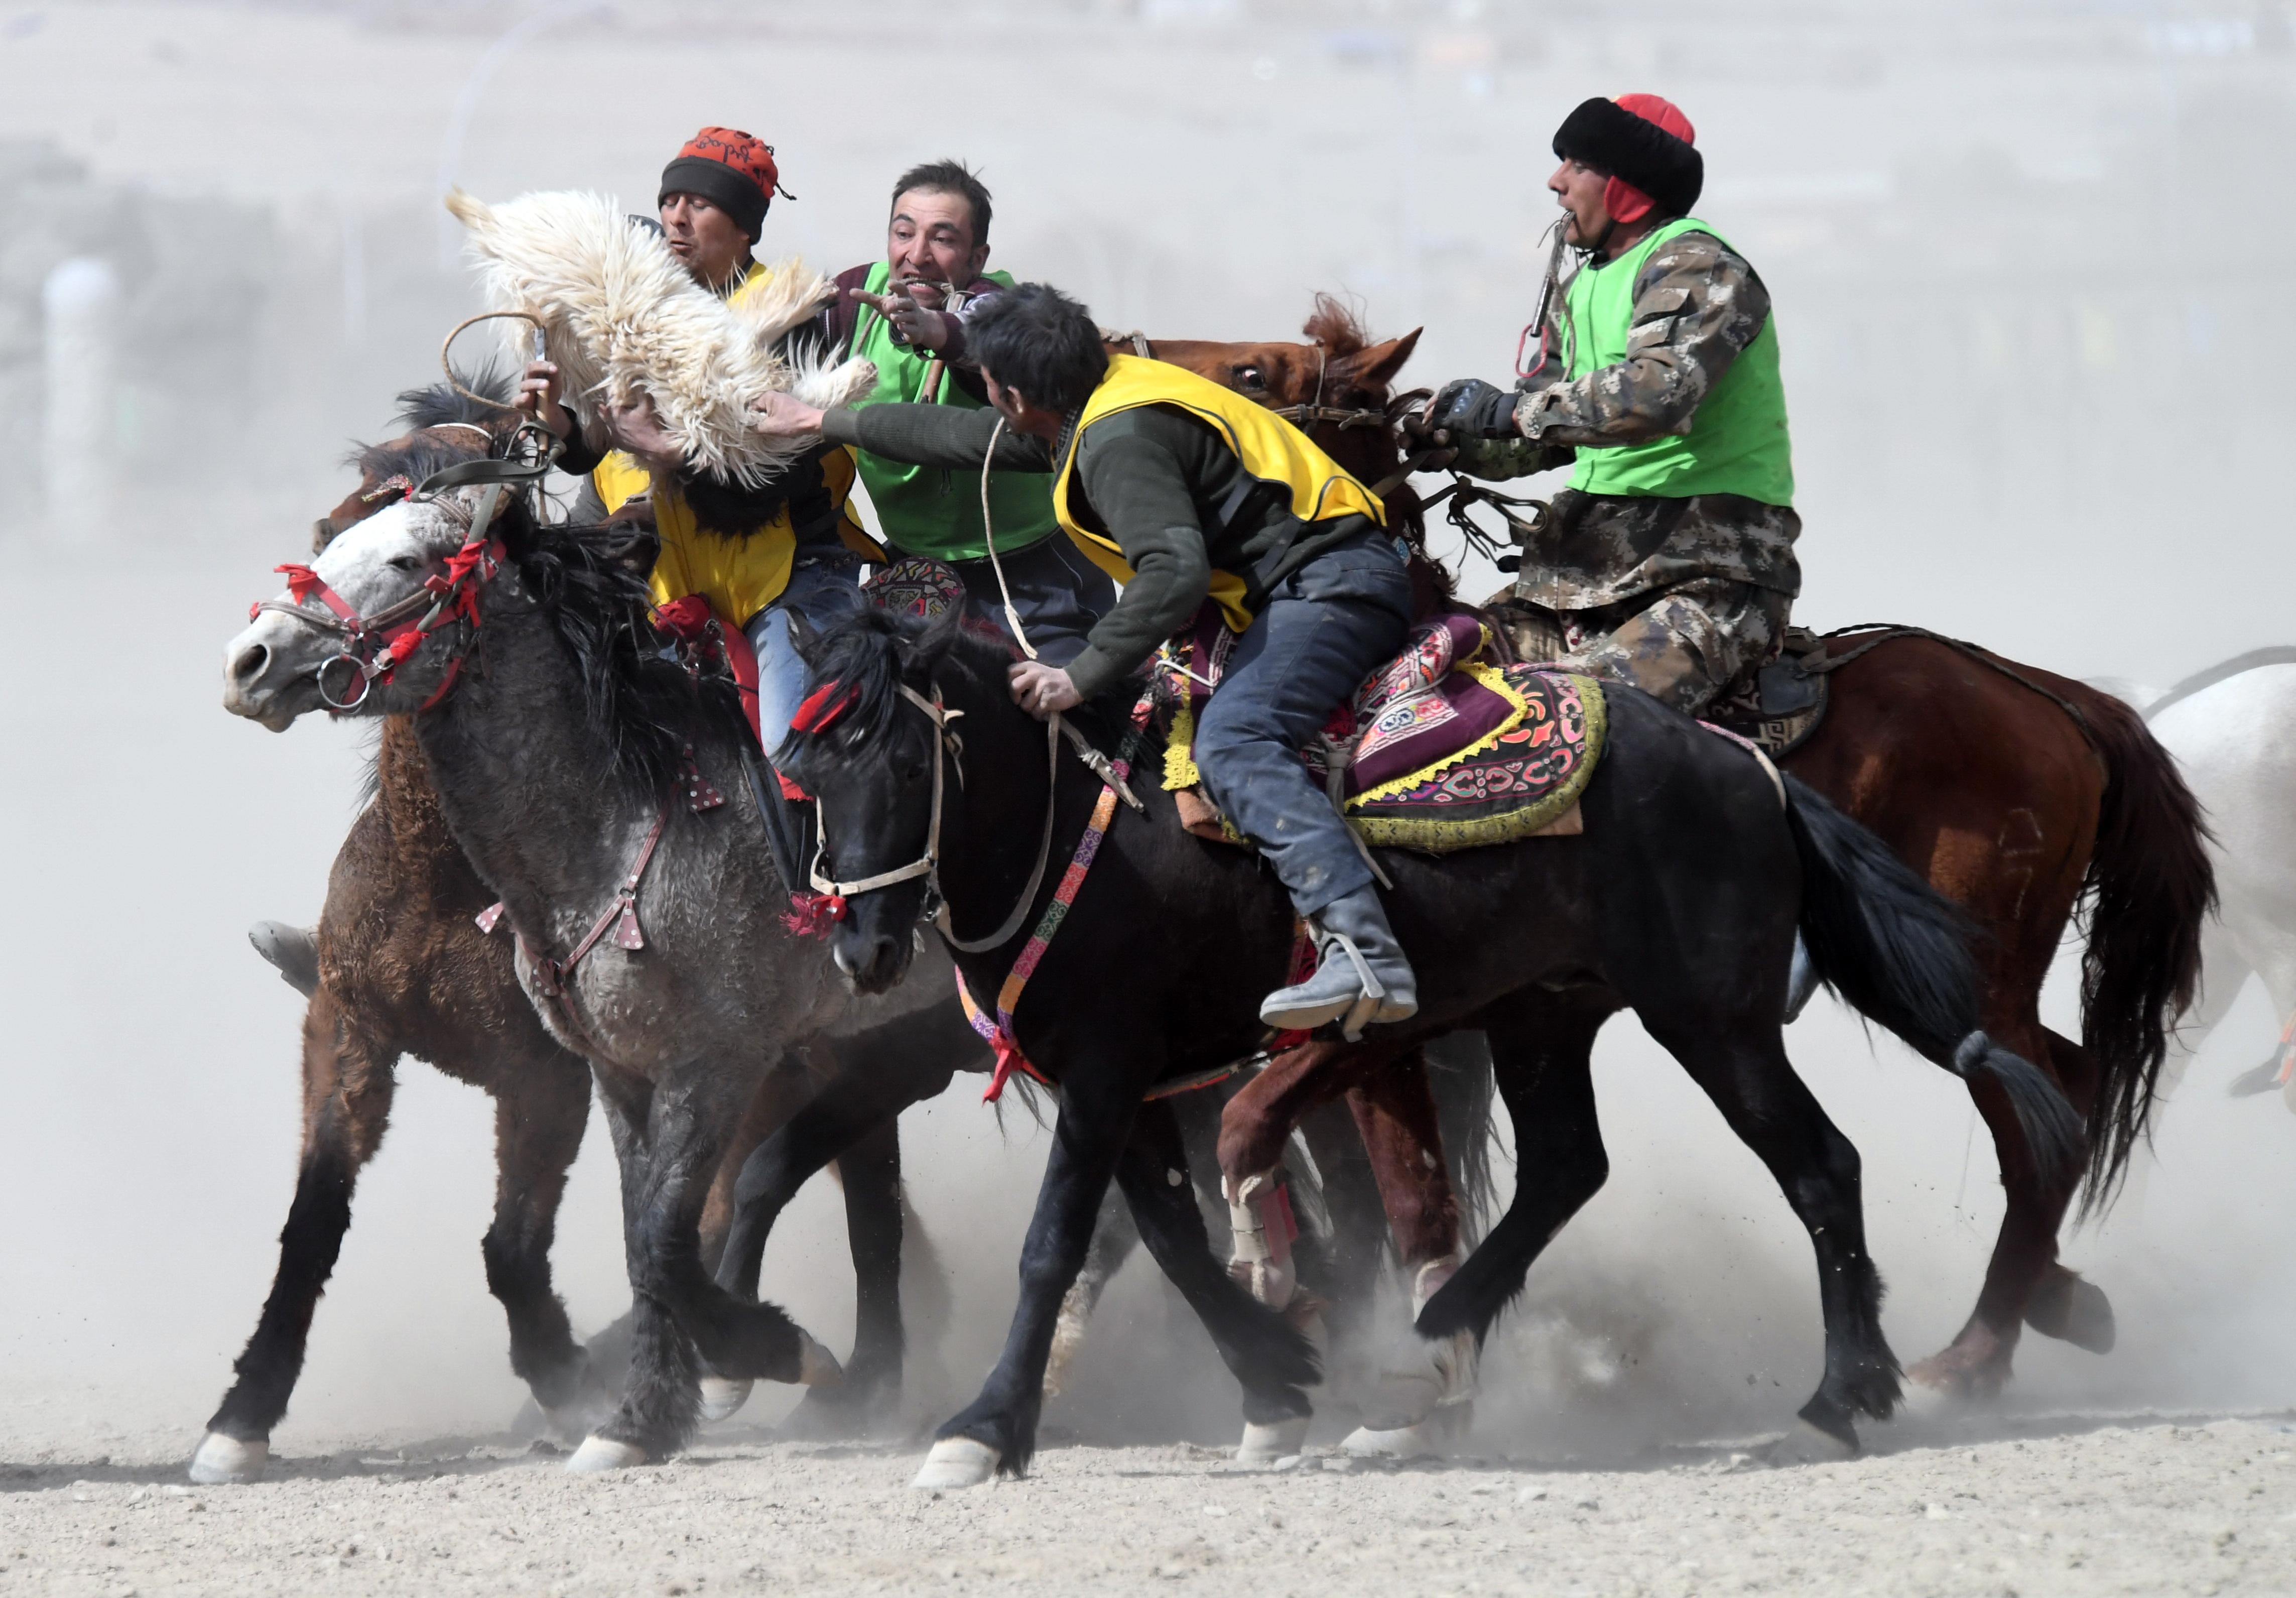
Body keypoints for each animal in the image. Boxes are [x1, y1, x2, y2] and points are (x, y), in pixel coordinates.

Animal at [781, 610, 2094, 1488]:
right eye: (807, 773)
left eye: (910, 761)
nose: (861, 947)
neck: (1088, 833)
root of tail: (1746, 763)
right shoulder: (1126, 1083)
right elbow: (1174, 1235)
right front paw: (1276, 1382)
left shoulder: (1108, 1069)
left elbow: (1057, 1244)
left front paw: (983, 1427)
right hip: (1545, 1014)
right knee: (1567, 1167)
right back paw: (1421, 1364)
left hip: (1709, 1017)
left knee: (1820, 1165)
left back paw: (1839, 1395)